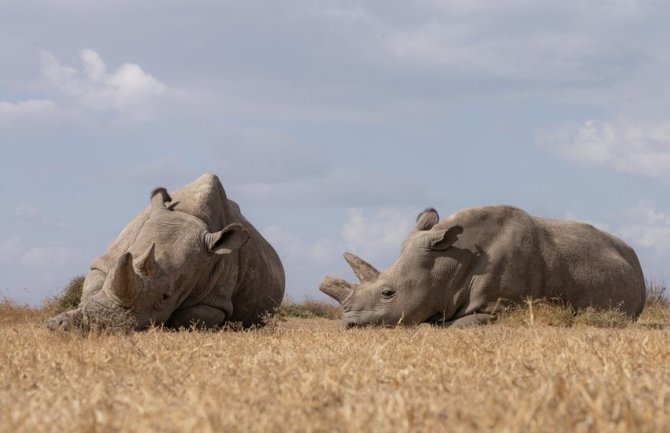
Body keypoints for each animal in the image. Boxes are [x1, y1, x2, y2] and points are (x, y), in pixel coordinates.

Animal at [48, 173, 286, 330]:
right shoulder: (106, 262)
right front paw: (64, 320)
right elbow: (93, 287)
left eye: (165, 297)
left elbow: (190, 316)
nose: (96, 325)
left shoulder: (216, 299)